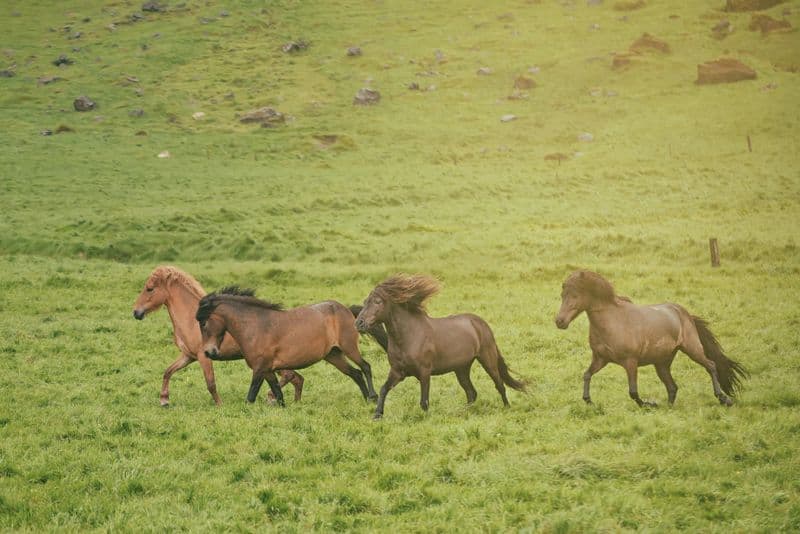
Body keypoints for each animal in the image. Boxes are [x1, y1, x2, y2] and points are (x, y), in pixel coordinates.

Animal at [132, 266, 304, 406]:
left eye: (149, 289)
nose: (136, 312)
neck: (192, 319)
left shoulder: (203, 356)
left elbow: (211, 383)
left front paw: (220, 405)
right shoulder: (188, 356)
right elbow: (168, 371)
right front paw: (164, 400)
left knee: (291, 376)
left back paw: (272, 398)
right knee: (297, 378)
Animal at [196, 289, 379, 407]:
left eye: (203, 323)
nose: (208, 352)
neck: (257, 326)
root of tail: (345, 309)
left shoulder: (259, 368)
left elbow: (250, 397)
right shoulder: (268, 370)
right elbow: (278, 394)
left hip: (349, 347)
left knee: (365, 367)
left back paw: (373, 398)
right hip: (334, 355)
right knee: (356, 373)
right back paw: (366, 400)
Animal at [355, 274, 526, 419]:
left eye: (377, 301)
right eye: (365, 301)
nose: (359, 323)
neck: (408, 337)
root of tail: (480, 323)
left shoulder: (424, 372)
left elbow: (424, 401)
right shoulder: (397, 372)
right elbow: (384, 389)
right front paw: (377, 415)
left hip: (487, 359)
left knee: (499, 384)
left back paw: (506, 408)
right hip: (461, 368)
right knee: (471, 393)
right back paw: (462, 412)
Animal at [555, 270, 748, 407]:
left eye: (575, 295)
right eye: (562, 295)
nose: (559, 321)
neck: (612, 322)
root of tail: (684, 313)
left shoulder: (630, 362)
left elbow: (633, 392)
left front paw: (649, 404)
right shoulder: (600, 359)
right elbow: (587, 375)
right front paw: (588, 400)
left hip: (693, 349)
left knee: (711, 366)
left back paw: (723, 398)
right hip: (661, 363)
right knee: (672, 387)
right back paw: (668, 407)